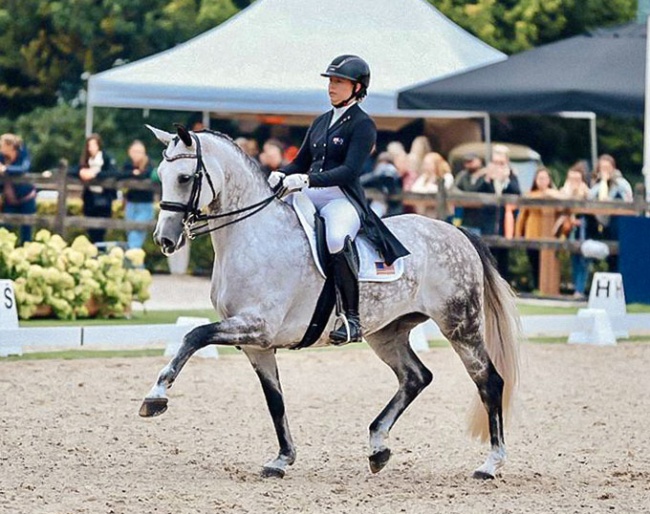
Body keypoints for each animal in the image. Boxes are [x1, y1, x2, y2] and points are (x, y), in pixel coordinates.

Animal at [139, 126, 520, 478]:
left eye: (185, 177)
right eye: (161, 174)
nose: (165, 239)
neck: (253, 235)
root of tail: (457, 232)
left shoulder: (257, 326)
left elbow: (194, 336)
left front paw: (155, 397)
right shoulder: (256, 344)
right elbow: (275, 401)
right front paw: (281, 460)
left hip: (460, 326)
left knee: (489, 381)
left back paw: (491, 464)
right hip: (386, 332)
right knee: (415, 377)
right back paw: (378, 447)